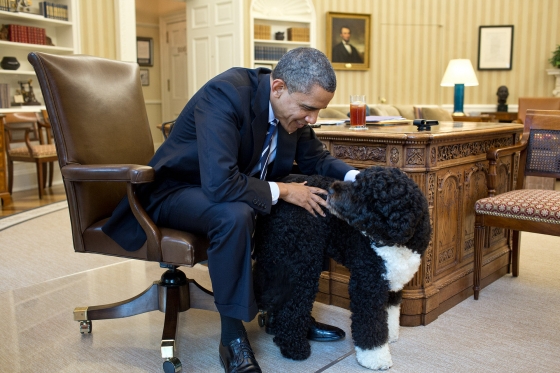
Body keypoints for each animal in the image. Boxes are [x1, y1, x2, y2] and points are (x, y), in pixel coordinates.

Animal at [254, 166, 434, 370]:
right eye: (358, 181)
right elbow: (370, 323)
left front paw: (389, 336)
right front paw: (375, 357)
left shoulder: (391, 281)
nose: (332, 189)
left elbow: (389, 313)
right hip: (302, 262)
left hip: (278, 258)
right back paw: (293, 347)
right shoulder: (367, 283)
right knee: (292, 304)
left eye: (366, 193)